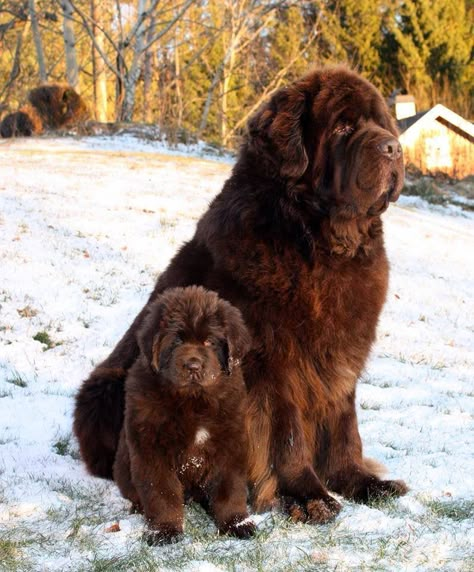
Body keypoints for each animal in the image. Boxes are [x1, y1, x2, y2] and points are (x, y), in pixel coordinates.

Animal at [112, 286, 256, 544]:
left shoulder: (230, 443)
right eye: (177, 340)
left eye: (209, 341)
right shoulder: (151, 447)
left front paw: (237, 523)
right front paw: (164, 530)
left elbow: (230, 488)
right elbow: (162, 492)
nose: (193, 366)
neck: (192, 399)